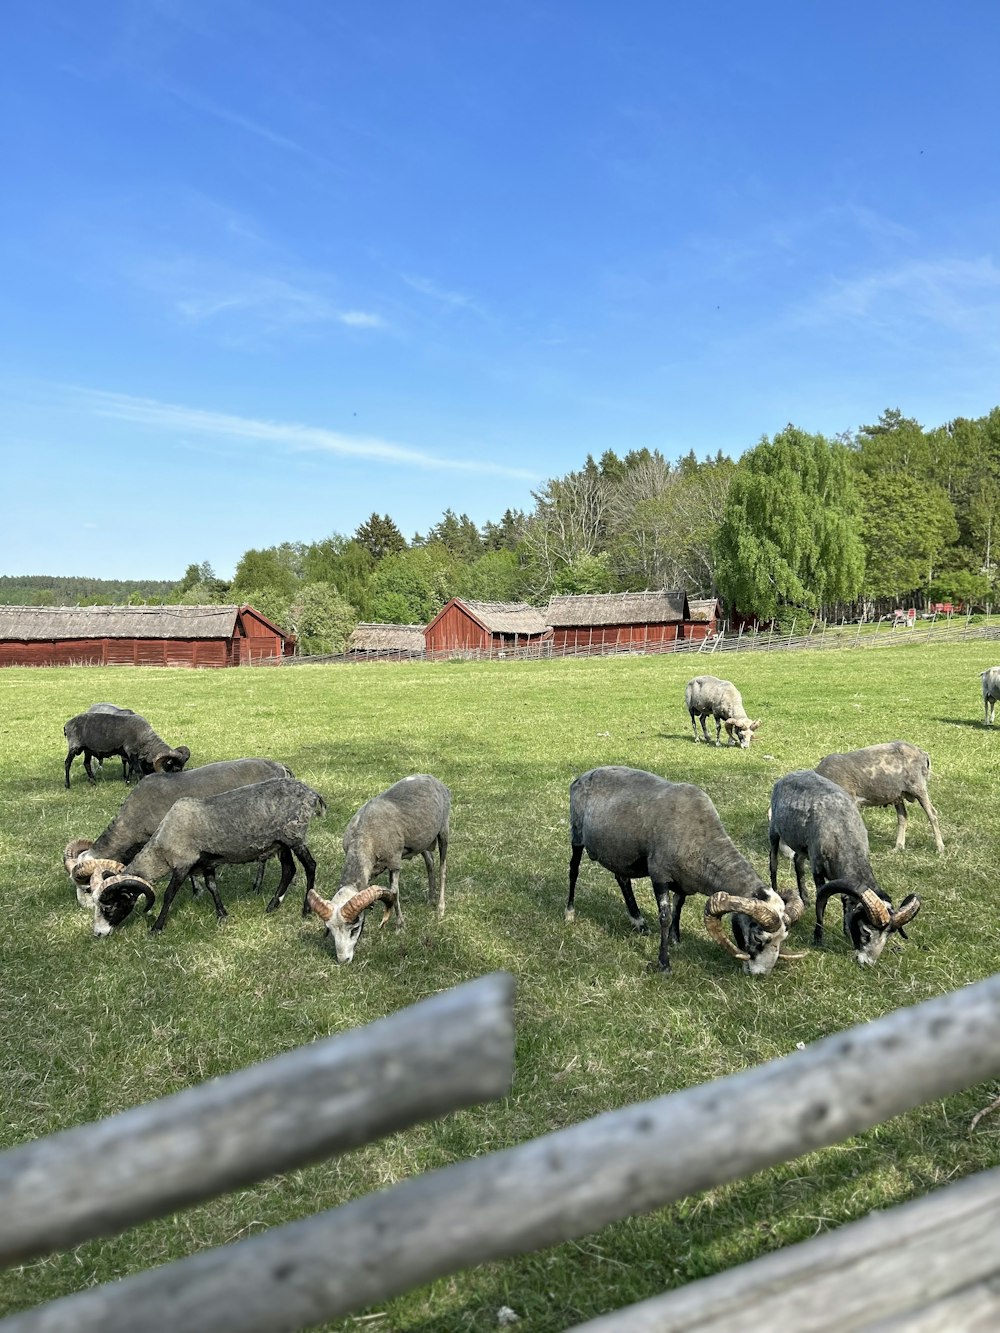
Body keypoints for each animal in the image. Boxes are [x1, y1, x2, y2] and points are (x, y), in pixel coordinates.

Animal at [81, 778, 326, 933]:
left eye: (109, 907)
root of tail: (313, 794)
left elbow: (169, 895)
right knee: (289, 869)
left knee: (310, 866)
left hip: (294, 836)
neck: (161, 848)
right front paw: (222, 914)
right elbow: (212, 886)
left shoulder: (182, 864)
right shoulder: (207, 862)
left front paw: (156, 927)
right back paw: (273, 905)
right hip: (280, 842)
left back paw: (305, 909)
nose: (98, 934)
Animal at [308, 773, 453, 970]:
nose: (343, 960)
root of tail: (432, 778)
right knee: (430, 862)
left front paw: (400, 927)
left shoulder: (394, 863)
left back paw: (440, 908)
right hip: (422, 841)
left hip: (443, 831)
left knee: (442, 868)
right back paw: (430, 898)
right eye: (330, 930)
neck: (363, 837)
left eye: (355, 928)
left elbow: (394, 893)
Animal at [568, 767, 805, 975]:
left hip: (620, 852)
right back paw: (569, 913)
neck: (700, 838)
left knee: (622, 878)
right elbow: (665, 917)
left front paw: (676, 940)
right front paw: (664, 964)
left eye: (783, 939)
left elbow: (678, 909)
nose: (761, 974)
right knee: (573, 871)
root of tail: (583, 776)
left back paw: (639, 922)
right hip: (577, 834)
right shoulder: (660, 875)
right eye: (758, 938)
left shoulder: (683, 882)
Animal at [768, 773, 922, 970]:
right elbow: (823, 901)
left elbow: (844, 899)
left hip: (802, 847)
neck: (843, 831)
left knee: (797, 862)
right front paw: (818, 937)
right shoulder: (818, 868)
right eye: (866, 932)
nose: (867, 963)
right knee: (773, 863)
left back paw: (805, 898)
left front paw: (846, 931)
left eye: (888, 936)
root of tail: (789, 775)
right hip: (775, 831)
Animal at [816, 741, 949, 853]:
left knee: (932, 814)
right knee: (903, 817)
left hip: (918, 786)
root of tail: (924, 754)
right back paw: (898, 847)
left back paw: (940, 847)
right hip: (898, 793)